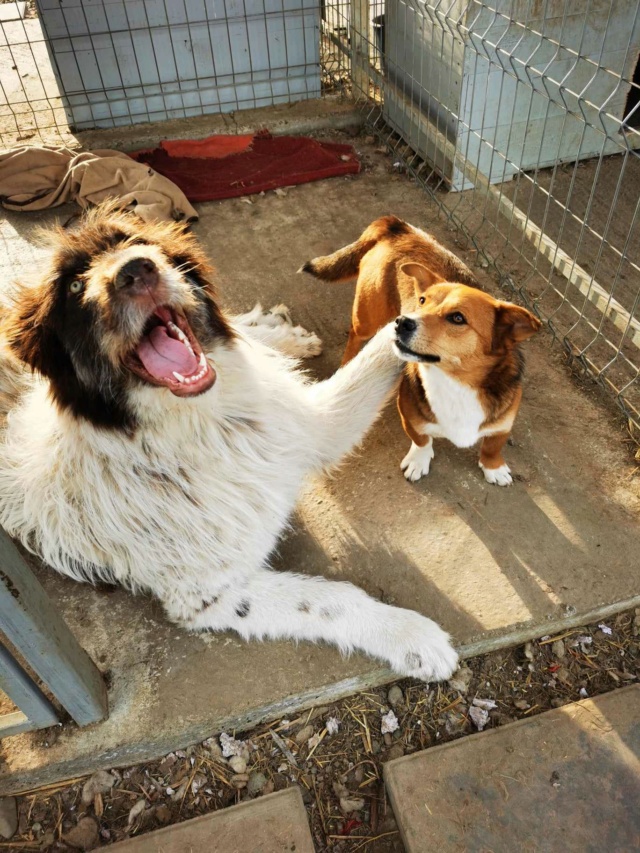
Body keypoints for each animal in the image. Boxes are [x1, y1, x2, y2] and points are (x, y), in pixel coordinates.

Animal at [0, 203, 460, 684]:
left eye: (133, 243)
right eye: (73, 286)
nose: (136, 270)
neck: (206, 424)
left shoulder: (308, 425)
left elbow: (383, 342)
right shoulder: (205, 595)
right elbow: (332, 599)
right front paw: (411, 636)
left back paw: (283, 334)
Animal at [302, 216, 540, 486]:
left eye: (458, 318)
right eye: (423, 301)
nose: (401, 321)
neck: (456, 382)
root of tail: (399, 227)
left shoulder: (503, 424)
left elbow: (492, 446)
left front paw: (494, 468)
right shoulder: (410, 415)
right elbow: (422, 440)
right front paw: (418, 461)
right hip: (367, 318)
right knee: (354, 335)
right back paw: (348, 363)